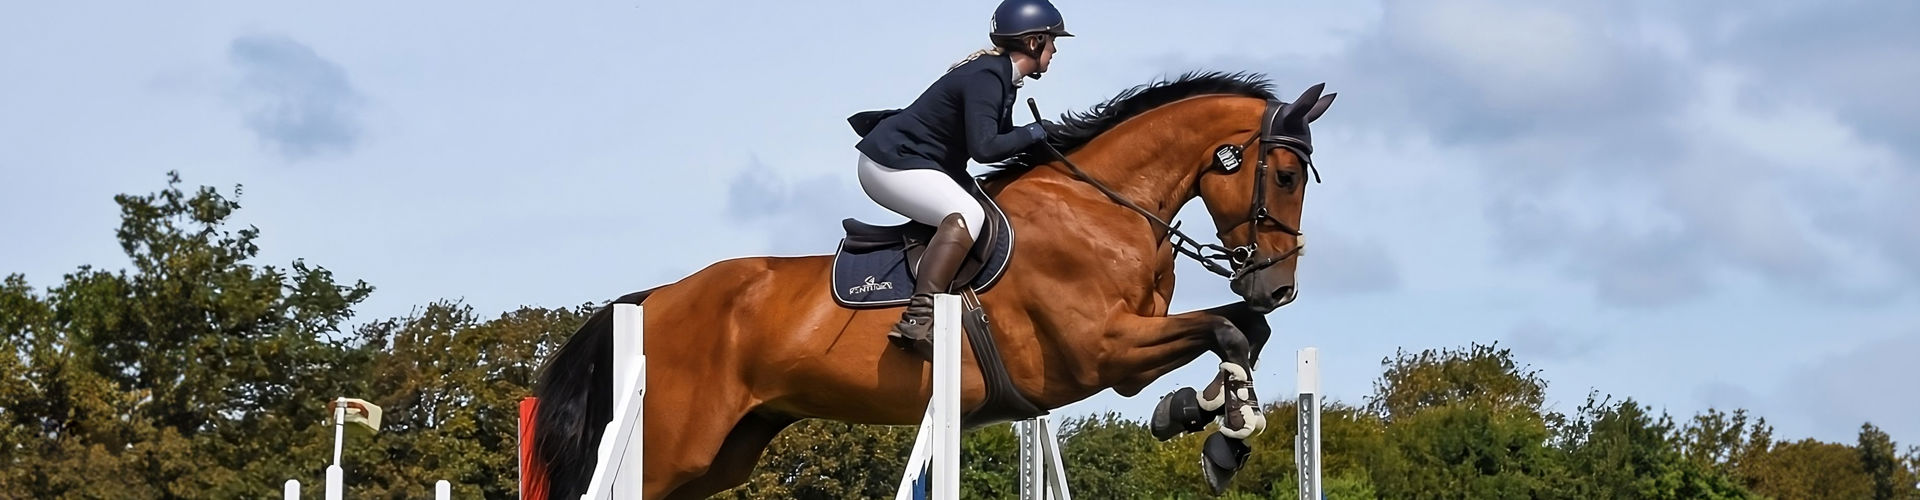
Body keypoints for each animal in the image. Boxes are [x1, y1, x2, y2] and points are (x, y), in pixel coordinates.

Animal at [531, 72, 1336, 499]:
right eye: (1285, 175)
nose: (1279, 285)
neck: (1104, 206)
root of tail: (653, 300)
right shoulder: (1102, 351)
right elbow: (1226, 327)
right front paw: (1221, 428)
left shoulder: (1126, 351)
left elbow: (1244, 331)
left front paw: (1207, 420)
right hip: (671, 448)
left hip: (722, 452)